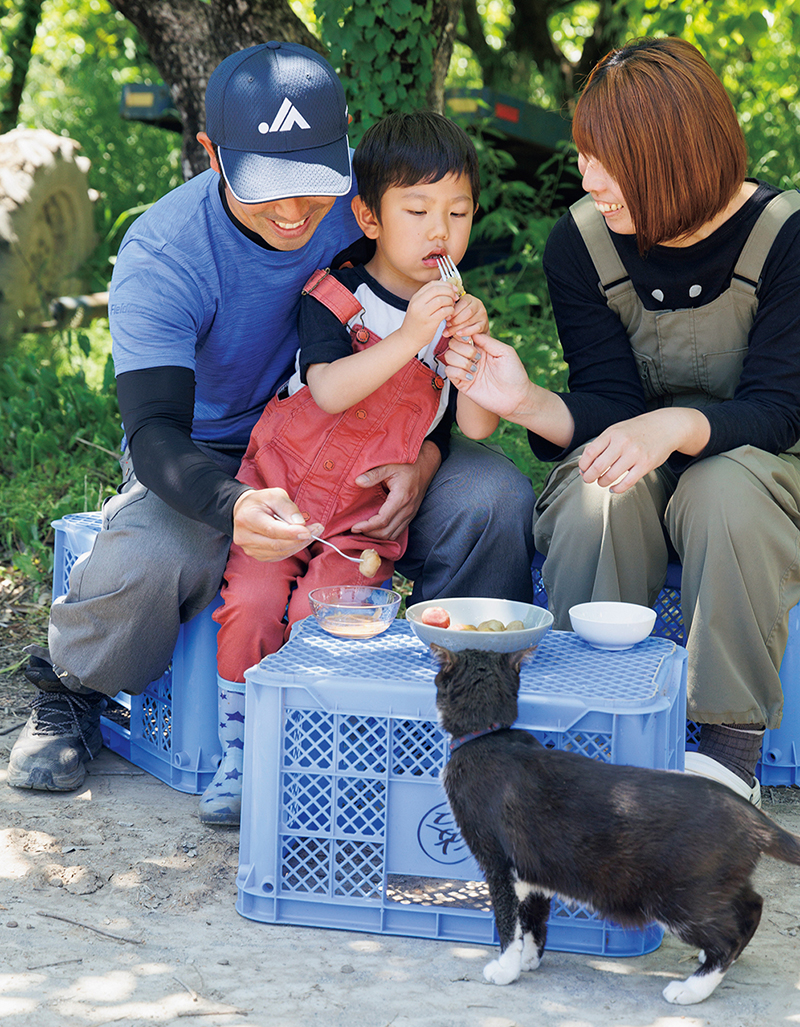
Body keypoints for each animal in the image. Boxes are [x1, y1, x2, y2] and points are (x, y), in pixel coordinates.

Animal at [435, 644, 800, 1006]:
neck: (488, 736)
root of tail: (749, 815)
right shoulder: (534, 867)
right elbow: (533, 916)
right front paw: (529, 959)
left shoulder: (498, 863)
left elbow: (508, 920)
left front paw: (506, 968)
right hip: (719, 880)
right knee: (753, 906)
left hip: (678, 897)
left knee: (727, 938)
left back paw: (692, 987)